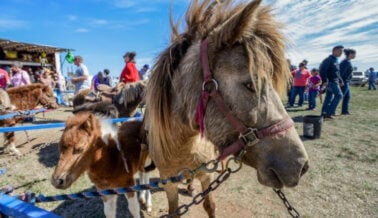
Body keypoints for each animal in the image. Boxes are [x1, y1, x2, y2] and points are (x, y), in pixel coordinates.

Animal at [146, 0, 308, 217]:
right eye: (250, 84)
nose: (301, 166)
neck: (182, 147)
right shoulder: (169, 183)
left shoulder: (206, 176)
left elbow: (210, 205)